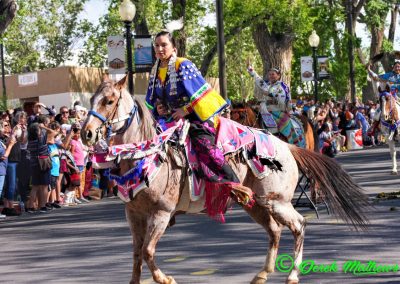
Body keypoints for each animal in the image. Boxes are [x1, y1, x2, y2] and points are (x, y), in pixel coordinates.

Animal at [82, 76, 372, 284]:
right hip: (255, 203)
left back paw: (292, 275)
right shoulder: (134, 214)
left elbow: (147, 251)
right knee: (275, 230)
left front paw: (166, 278)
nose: (86, 133)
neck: (145, 154)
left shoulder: (161, 213)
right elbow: (136, 254)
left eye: (109, 100)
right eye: (92, 99)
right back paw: (262, 274)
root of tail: (286, 146)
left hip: (276, 201)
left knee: (298, 225)